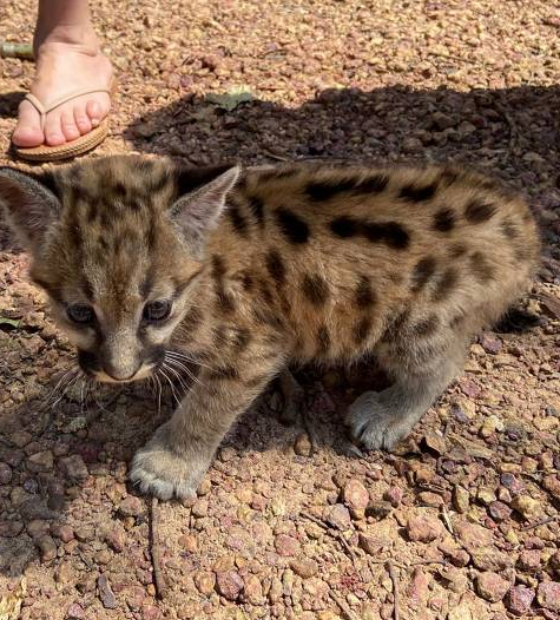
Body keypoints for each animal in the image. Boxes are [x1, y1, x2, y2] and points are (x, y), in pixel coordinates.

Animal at [0, 155, 540, 498]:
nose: (119, 372)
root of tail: (523, 222)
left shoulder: (252, 349)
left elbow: (206, 408)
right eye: (79, 312)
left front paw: (169, 465)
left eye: (156, 309)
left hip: (416, 323)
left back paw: (388, 413)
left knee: (443, 364)